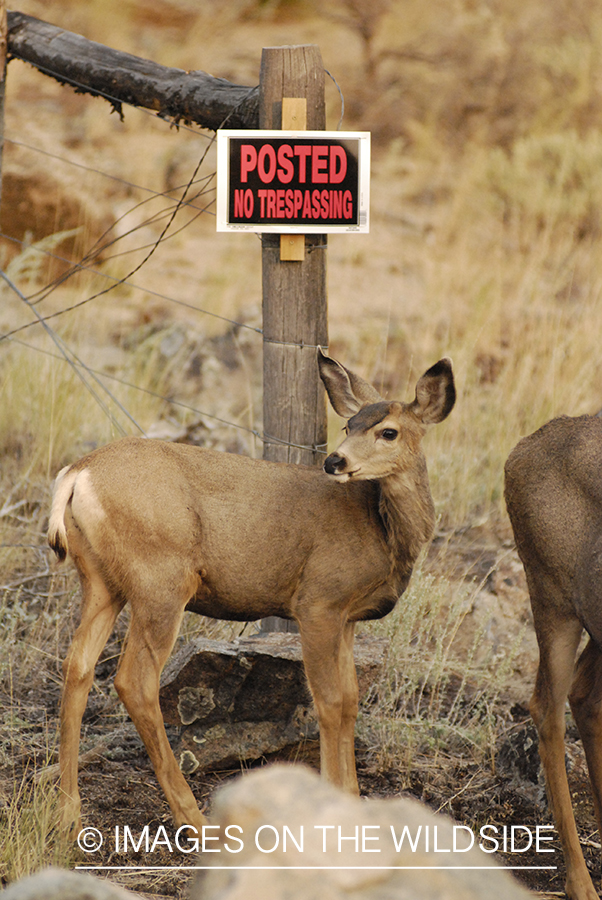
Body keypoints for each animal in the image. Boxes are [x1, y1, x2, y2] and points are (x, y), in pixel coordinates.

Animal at [48, 349, 455, 836]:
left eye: (386, 431)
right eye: (348, 426)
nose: (334, 462)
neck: (381, 528)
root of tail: (77, 474)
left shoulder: (347, 617)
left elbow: (352, 701)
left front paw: (354, 800)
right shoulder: (317, 601)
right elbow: (330, 703)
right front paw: (334, 803)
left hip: (100, 580)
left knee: (77, 666)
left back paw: (69, 811)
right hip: (161, 578)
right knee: (134, 681)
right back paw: (195, 819)